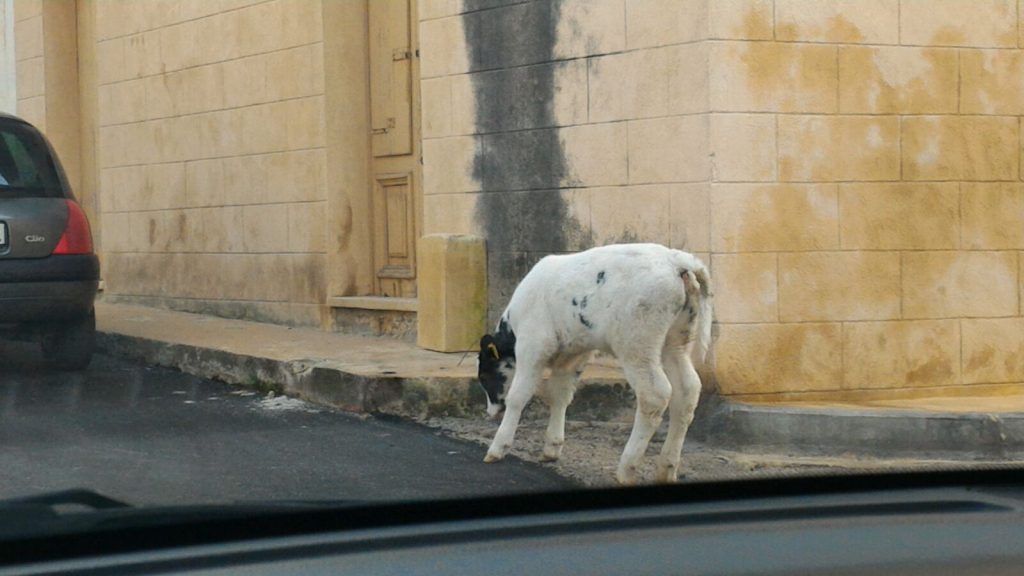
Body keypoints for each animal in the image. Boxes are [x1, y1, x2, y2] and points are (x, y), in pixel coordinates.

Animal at [477, 241, 712, 483]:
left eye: (484, 376)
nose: (490, 412)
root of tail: (676, 260)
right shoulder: (573, 354)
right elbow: (560, 395)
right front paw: (552, 448)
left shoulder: (533, 346)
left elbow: (518, 396)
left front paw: (497, 448)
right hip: (675, 343)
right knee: (687, 391)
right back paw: (666, 468)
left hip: (637, 346)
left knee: (655, 395)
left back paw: (626, 468)